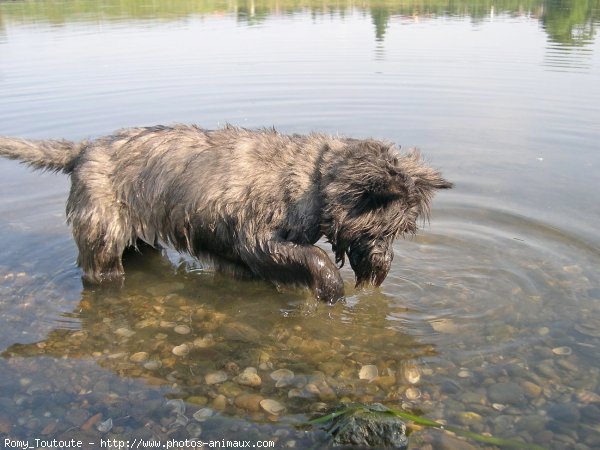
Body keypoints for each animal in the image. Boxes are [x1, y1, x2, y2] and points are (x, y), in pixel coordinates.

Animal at [0, 125, 452, 304]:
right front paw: (332, 292)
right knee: (100, 268)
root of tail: (82, 150)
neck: (314, 178)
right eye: (383, 231)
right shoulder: (257, 239)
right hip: (104, 237)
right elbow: (315, 259)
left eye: (401, 232)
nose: (380, 268)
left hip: (140, 239)